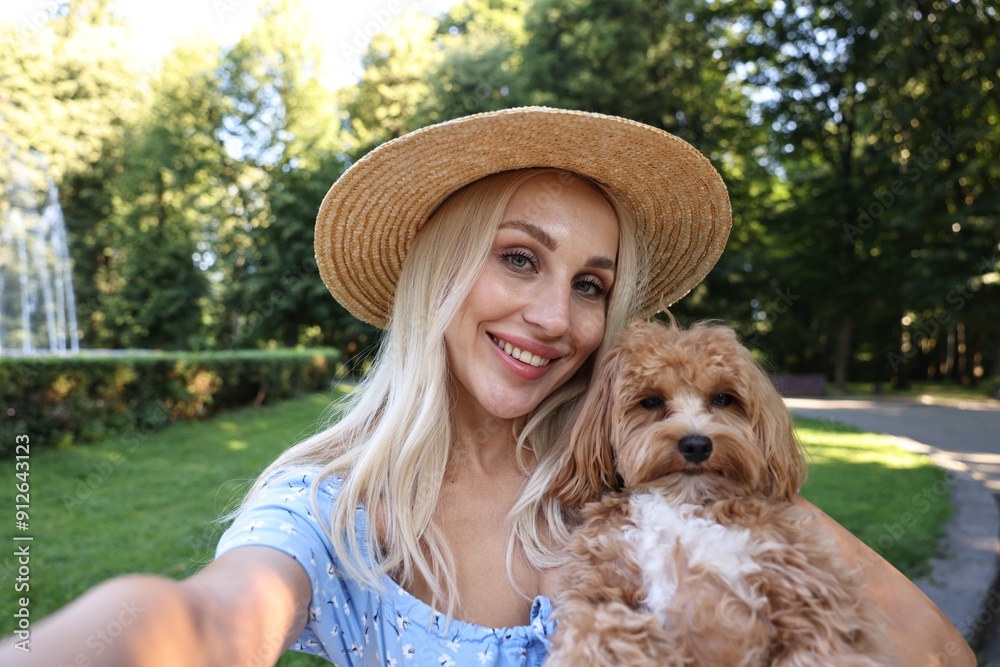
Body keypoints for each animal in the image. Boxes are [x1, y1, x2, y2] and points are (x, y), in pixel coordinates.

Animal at [548, 320, 892, 664]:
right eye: (652, 401)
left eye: (723, 399)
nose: (697, 445)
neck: (683, 505)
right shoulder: (605, 586)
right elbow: (596, 631)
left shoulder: (812, 597)